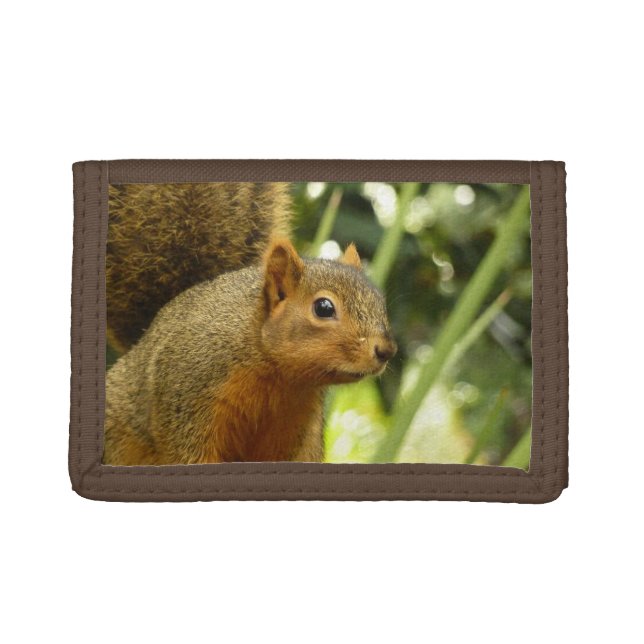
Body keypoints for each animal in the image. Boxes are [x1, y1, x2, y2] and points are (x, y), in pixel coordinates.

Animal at [104, 182, 397, 465]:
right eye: (323, 308)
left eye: (380, 301)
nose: (386, 350)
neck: (277, 375)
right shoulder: (188, 398)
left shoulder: (295, 427)